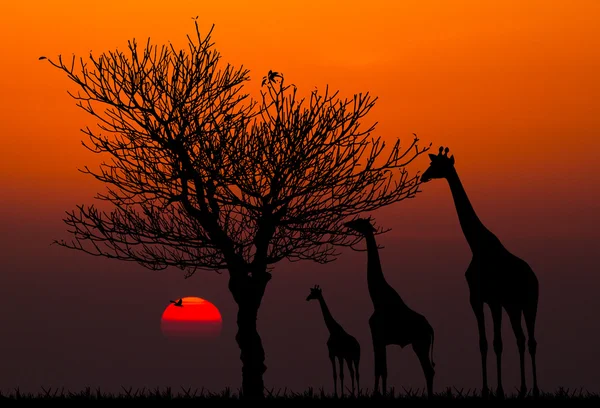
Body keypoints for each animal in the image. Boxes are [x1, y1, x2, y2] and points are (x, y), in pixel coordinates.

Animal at [342, 218, 436, 396]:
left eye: (358, 222)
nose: (346, 224)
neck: (377, 299)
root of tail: (430, 329)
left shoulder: (377, 335)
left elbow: (379, 369)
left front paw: (377, 394)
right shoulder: (382, 340)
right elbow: (383, 369)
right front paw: (381, 393)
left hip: (420, 343)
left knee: (429, 370)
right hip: (422, 344)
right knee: (430, 370)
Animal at [420, 146, 540, 398]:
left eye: (438, 165)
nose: (423, 176)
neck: (477, 245)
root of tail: (534, 276)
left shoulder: (493, 300)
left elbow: (497, 343)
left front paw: (499, 390)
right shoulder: (476, 299)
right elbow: (483, 343)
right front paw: (486, 390)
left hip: (530, 302)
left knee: (532, 341)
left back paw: (534, 390)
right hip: (512, 306)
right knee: (521, 338)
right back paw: (523, 389)